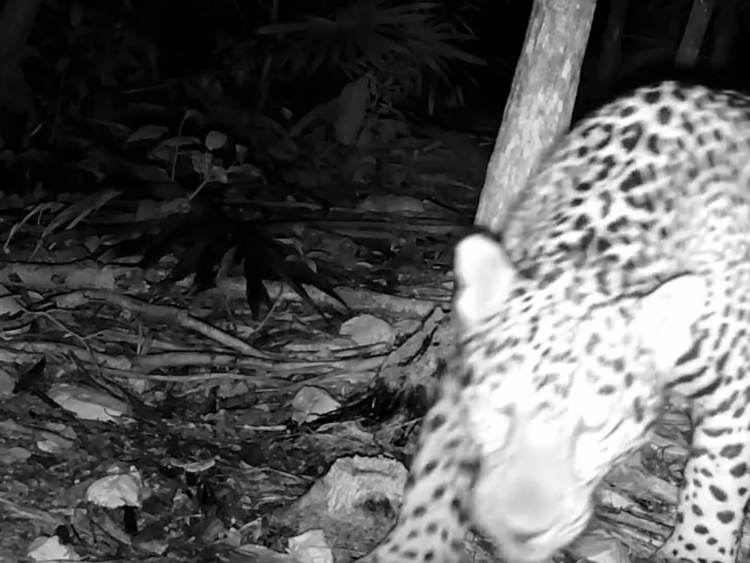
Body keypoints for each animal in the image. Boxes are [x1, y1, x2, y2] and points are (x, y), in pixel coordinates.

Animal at [358, 82, 750, 563]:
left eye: (597, 427)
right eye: (500, 410)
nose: (523, 531)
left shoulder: (735, 387)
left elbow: (717, 483)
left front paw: (694, 553)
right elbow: (438, 459)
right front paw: (412, 548)